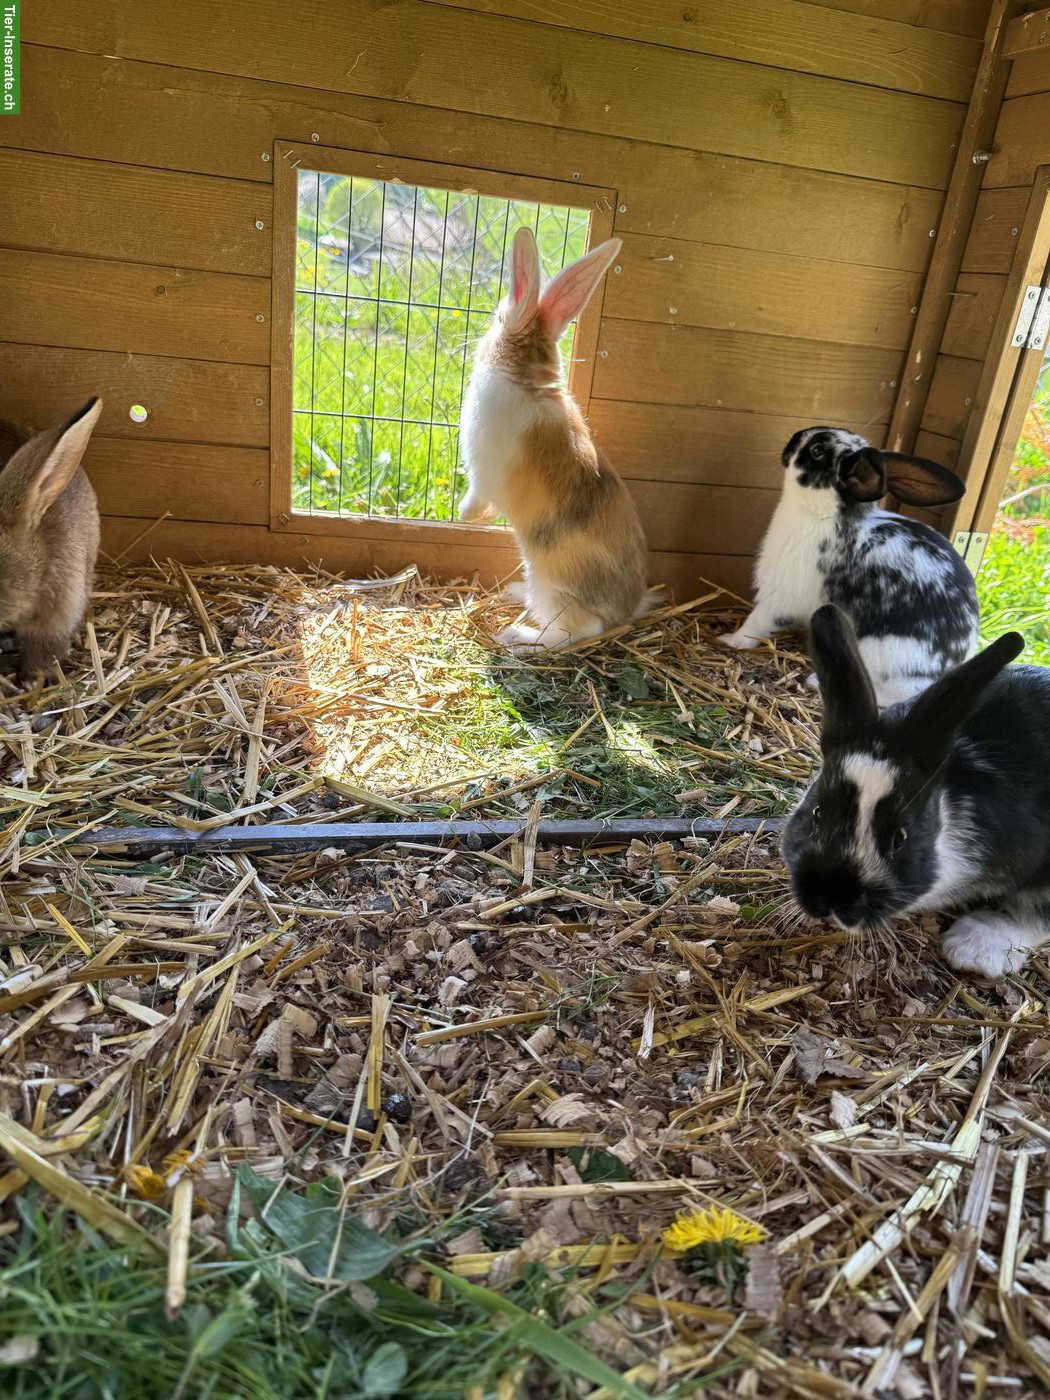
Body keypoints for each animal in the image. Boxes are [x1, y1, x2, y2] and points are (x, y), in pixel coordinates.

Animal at [459, 226, 656, 650]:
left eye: (498, 316)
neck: (523, 377)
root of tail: (623, 614)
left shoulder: (482, 473)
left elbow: (477, 496)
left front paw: (467, 515)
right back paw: (515, 594)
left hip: (553, 588)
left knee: (575, 632)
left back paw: (517, 634)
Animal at [720, 427, 978, 708]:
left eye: (817, 451)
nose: (794, 437)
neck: (823, 516)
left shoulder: (778, 598)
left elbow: (755, 624)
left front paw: (729, 640)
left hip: (881, 655)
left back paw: (814, 682)